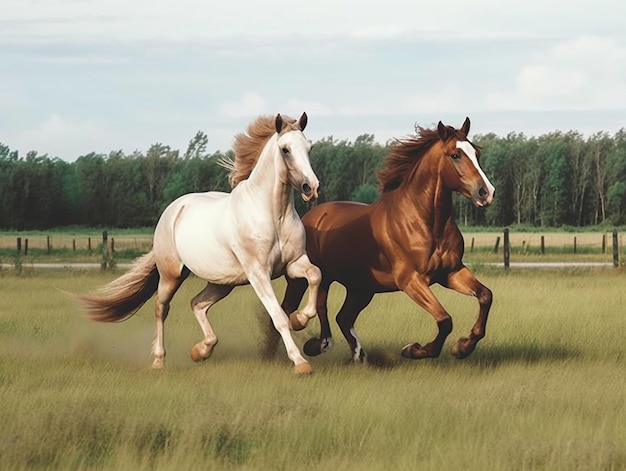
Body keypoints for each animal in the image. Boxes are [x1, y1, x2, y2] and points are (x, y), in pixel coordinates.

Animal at [78, 112, 320, 374]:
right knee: (161, 308)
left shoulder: (293, 264)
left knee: (197, 303)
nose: (311, 187)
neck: (273, 215)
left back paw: (201, 350)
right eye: (285, 149)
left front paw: (300, 319)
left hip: (223, 282)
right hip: (172, 275)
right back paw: (159, 360)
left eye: (309, 148)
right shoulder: (258, 274)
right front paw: (300, 362)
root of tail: (175, 208)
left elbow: (315, 275)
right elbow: (278, 317)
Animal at [276, 118, 494, 366]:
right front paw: (414, 349)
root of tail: (311, 216)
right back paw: (301, 348)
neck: (424, 221)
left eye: (476, 153)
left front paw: (463, 347)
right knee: (295, 309)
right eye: (455, 155)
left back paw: (357, 355)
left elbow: (485, 296)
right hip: (307, 280)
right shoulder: (410, 280)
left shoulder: (451, 272)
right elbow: (445, 320)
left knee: (342, 317)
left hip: (361, 288)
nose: (486, 192)